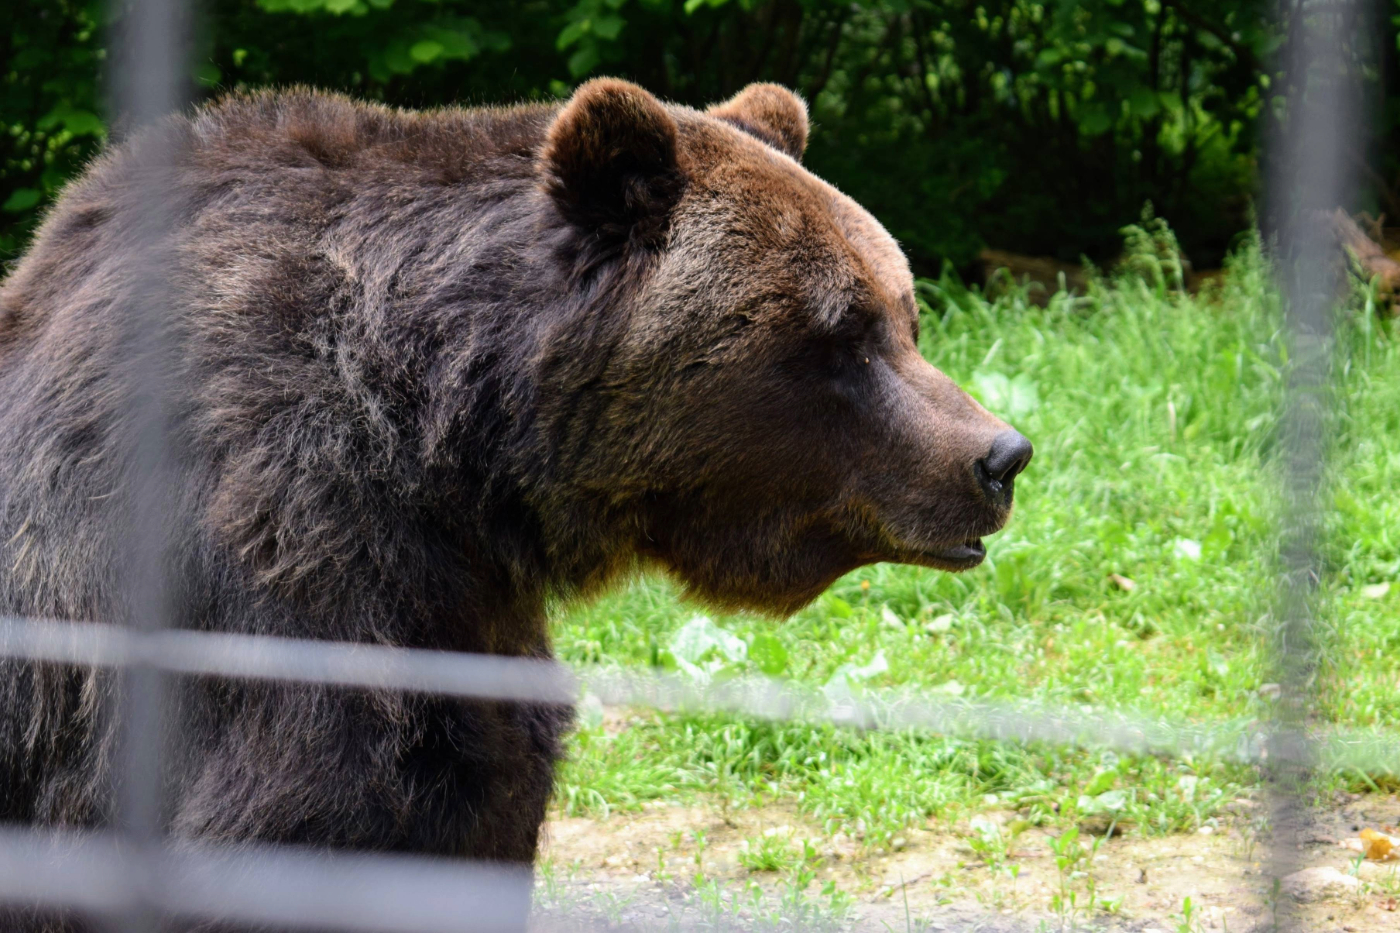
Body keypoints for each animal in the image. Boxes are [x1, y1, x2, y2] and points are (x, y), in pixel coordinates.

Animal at [0, 81, 1030, 930]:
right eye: (844, 332)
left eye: (904, 315)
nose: (1000, 455)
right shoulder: (264, 555)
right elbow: (301, 815)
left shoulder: (459, 606)